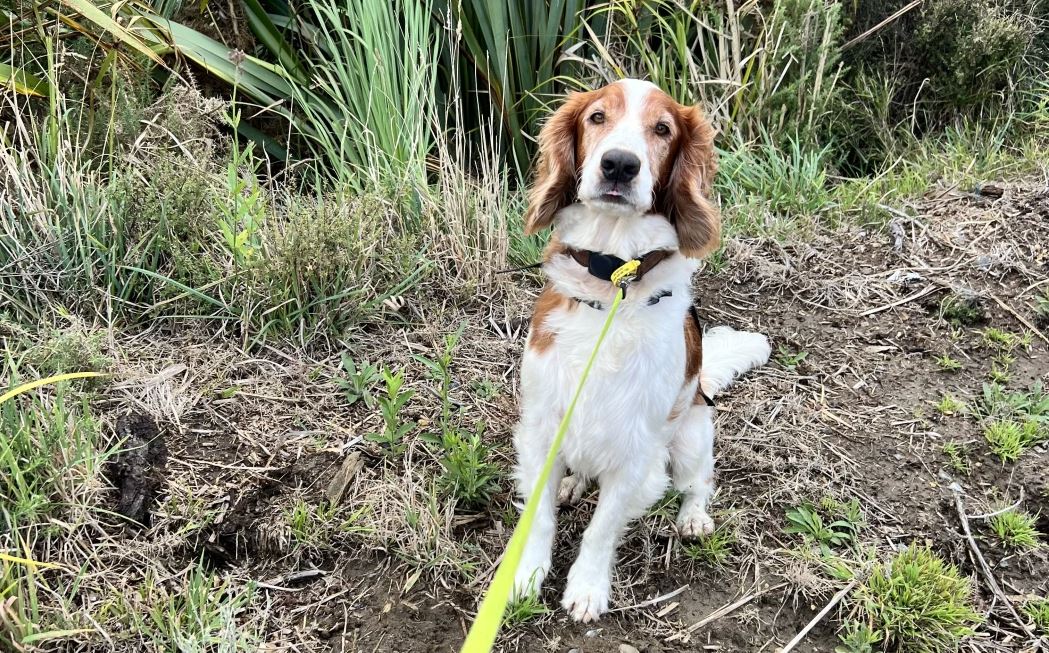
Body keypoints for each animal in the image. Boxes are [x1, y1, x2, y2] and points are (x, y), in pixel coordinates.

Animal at [509, 80, 772, 625]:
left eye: (662, 129)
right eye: (597, 117)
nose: (619, 165)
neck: (612, 281)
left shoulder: (637, 452)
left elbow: (602, 528)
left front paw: (587, 588)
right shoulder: (541, 428)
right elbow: (540, 515)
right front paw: (526, 575)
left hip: (692, 437)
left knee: (698, 483)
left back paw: (693, 519)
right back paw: (573, 483)